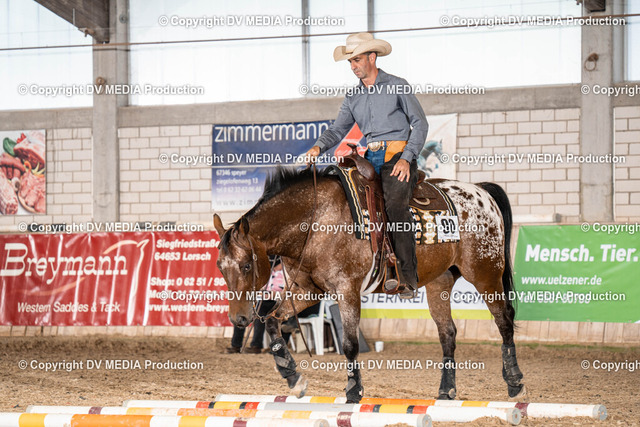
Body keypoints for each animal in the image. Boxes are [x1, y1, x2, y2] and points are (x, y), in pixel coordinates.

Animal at [213, 166, 526, 403]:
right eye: (220, 266)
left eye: (246, 265)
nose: (238, 318)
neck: (316, 220)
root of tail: (481, 191)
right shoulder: (308, 291)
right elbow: (273, 321)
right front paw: (293, 378)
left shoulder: (346, 290)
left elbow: (350, 344)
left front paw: (353, 392)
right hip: (440, 282)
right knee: (447, 333)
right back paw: (446, 391)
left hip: (485, 273)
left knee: (504, 320)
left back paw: (515, 382)